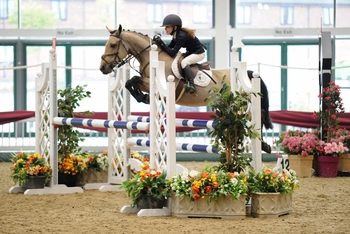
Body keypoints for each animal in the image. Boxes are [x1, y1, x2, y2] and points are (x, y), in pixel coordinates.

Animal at [99, 24, 274, 154]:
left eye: (113, 45)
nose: (103, 68)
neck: (152, 57)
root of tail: (246, 73)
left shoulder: (155, 84)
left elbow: (134, 80)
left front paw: (143, 97)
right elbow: (129, 82)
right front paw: (142, 97)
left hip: (241, 104)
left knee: (256, 115)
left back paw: (264, 145)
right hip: (226, 106)